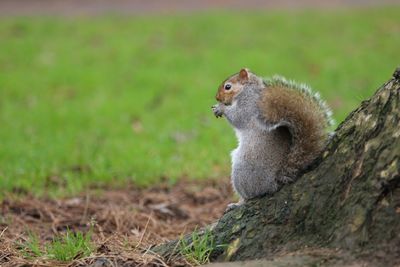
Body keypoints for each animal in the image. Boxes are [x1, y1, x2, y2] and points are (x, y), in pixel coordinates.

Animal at [212, 69, 334, 209]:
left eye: (228, 87)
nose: (217, 97)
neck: (247, 90)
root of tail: (274, 182)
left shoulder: (248, 108)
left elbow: (237, 117)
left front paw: (220, 107)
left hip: (242, 170)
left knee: (250, 195)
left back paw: (238, 203)